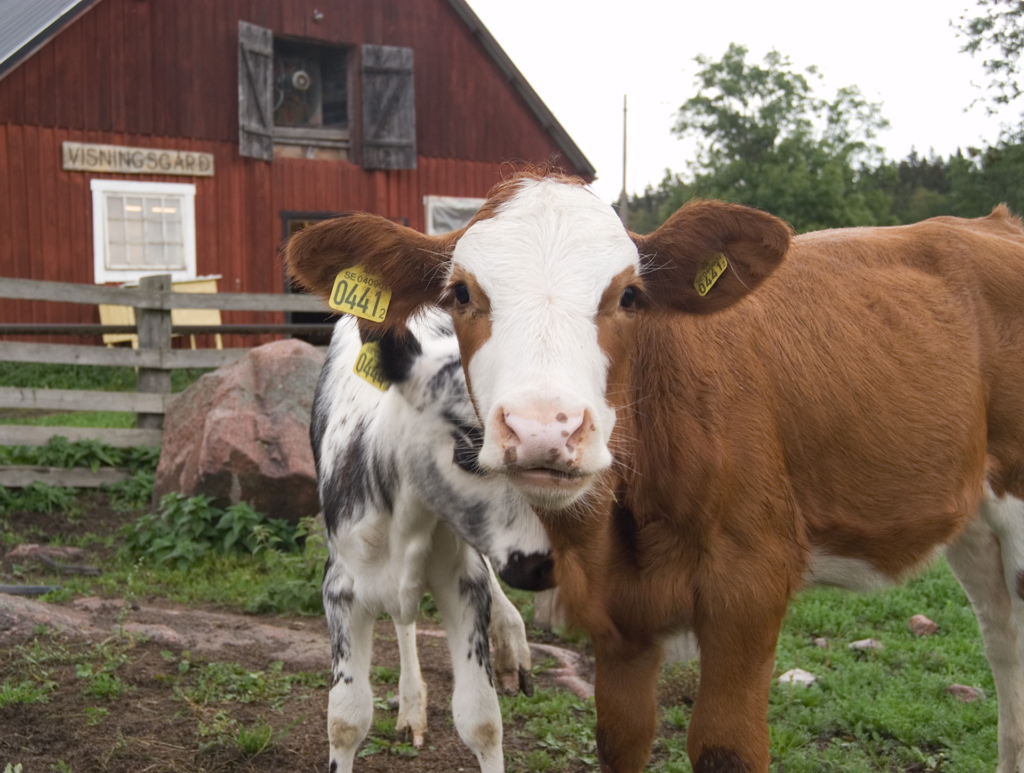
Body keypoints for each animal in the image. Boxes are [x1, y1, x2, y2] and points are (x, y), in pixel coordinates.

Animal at [313, 311, 552, 773]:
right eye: (469, 446)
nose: (543, 564)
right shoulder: (341, 587)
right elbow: (345, 719)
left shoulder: (464, 580)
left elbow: (482, 719)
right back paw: (411, 706)